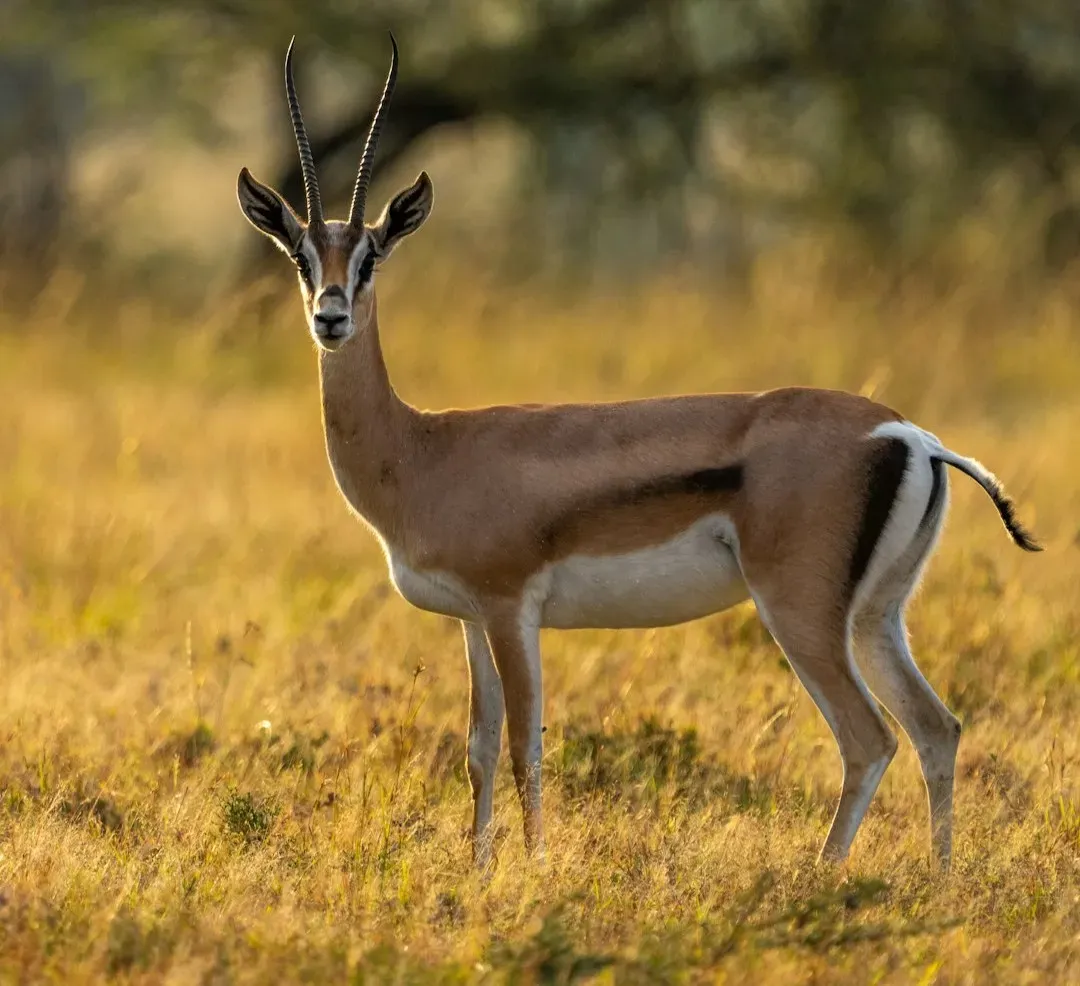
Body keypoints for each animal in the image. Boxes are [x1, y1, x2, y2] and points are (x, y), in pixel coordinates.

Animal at [236, 35, 1041, 871]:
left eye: (371, 256)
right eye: (300, 255)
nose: (330, 317)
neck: (424, 450)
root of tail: (908, 436)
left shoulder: (510, 610)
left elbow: (525, 745)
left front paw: (533, 868)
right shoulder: (469, 620)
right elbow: (479, 747)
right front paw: (480, 868)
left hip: (800, 613)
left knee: (869, 738)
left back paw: (823, 875)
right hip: (877, 616)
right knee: (935, 727)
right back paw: (939, 878)